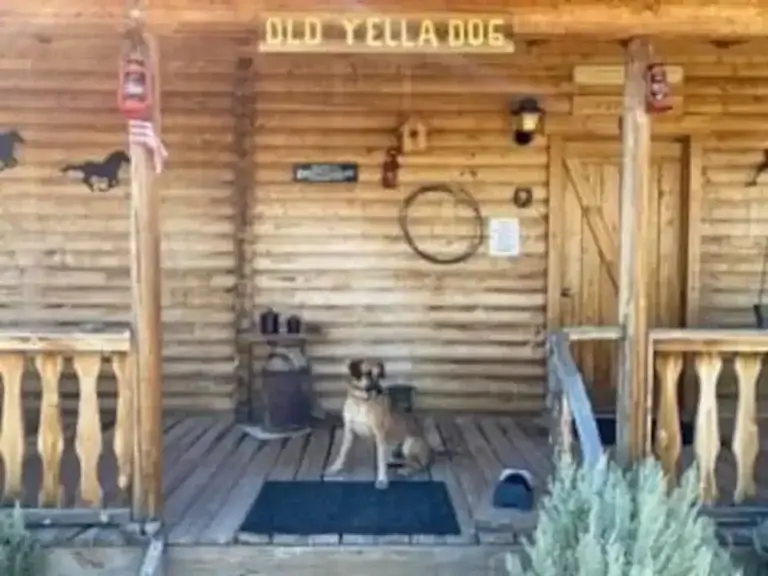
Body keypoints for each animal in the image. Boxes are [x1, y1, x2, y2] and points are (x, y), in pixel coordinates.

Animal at [324, 358, 432, 488]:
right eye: (368, 374)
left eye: (379, 375)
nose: (381, 391)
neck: (361, 401)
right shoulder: (348, 431)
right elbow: (342, 453)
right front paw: (335, 468)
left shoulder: (379, 434)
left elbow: (380, 461)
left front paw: (382, 480)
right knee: (399, 461)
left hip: (409, 443)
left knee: (417, 465)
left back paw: (405, 470)